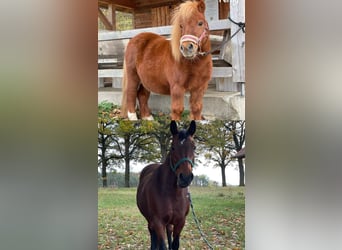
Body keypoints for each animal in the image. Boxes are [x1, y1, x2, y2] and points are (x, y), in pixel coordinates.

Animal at [136, 120, 195, 249]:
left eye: (194, 147)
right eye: (173, 147)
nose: (185, 178)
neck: (172, 193)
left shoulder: (180, 222)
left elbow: (175, 244)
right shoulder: (158, 222)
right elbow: (163, 245)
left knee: (168, 231)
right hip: (150, 221)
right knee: (152, 234)